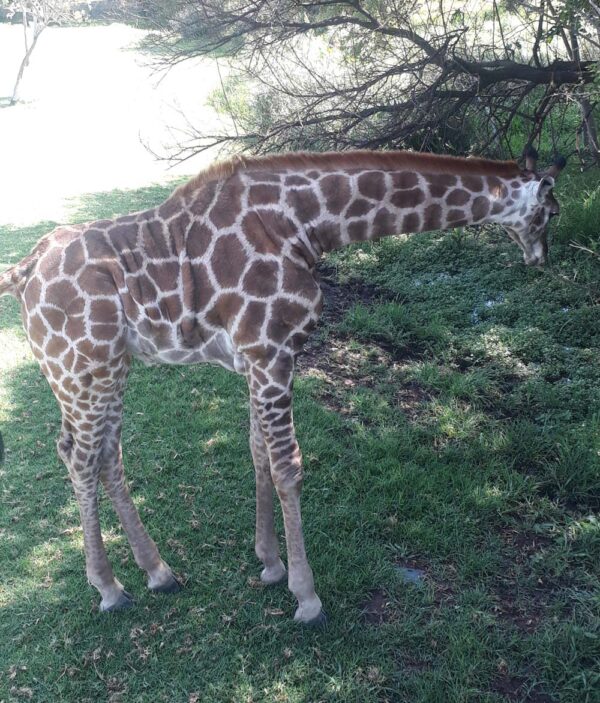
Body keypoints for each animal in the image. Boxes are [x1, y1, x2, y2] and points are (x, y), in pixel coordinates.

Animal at [0, 147, 564, 620]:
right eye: (553, 212)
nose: (541, 259)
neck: (307, 225)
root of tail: (22, 272)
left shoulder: (257, 357)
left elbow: (258, 453)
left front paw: (270, 564)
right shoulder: (272, 351)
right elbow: (289, 465)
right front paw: (306, 595)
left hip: (108, 367)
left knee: (103, 453)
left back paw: (158, 572)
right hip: (82, 367)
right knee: (80, 456)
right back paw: (109, 588)